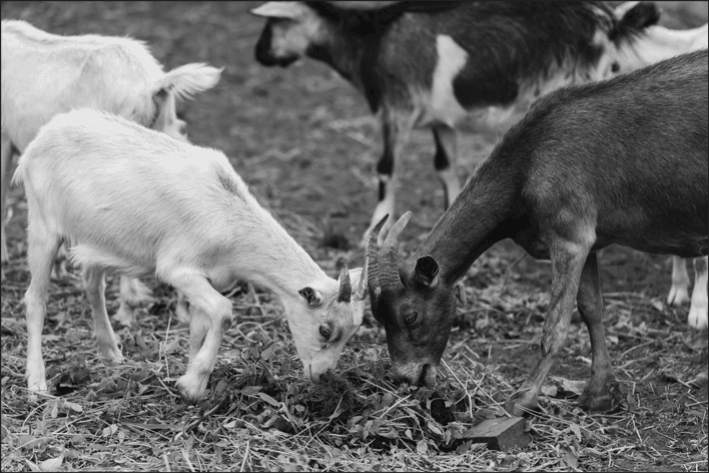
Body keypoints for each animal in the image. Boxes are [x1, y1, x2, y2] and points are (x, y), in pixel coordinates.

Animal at [13, 109, 367, 402]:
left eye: (352, 332)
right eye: (325, 330)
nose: (323, 376)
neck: (231, 219)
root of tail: (41, 137)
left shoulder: (208, 275)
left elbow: (200, 324)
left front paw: (188, 375)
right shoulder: (177, 268)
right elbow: (223, 312)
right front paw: (193, 384)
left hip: (96, 236)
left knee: (91, 282)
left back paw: (111, 352)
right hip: (43, 224)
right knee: (35, 299)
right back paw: (37, 383)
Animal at [250, 1, 669, 245]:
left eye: (271, 25)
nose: (258, 55)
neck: (372, 38)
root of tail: (608, 21)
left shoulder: (396, 110)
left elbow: (385, 169)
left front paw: (375, 226)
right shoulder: (442, 121)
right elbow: (445, 167)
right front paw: (452, 210)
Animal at [366, 50, 708, 416]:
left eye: (410, 315)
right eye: (377, 315)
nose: (406, 376)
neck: (529, 161)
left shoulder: (569, 235)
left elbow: (555, 325)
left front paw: (522, 399)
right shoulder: (589, 241)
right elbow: (591, 309)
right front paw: (600, 393)